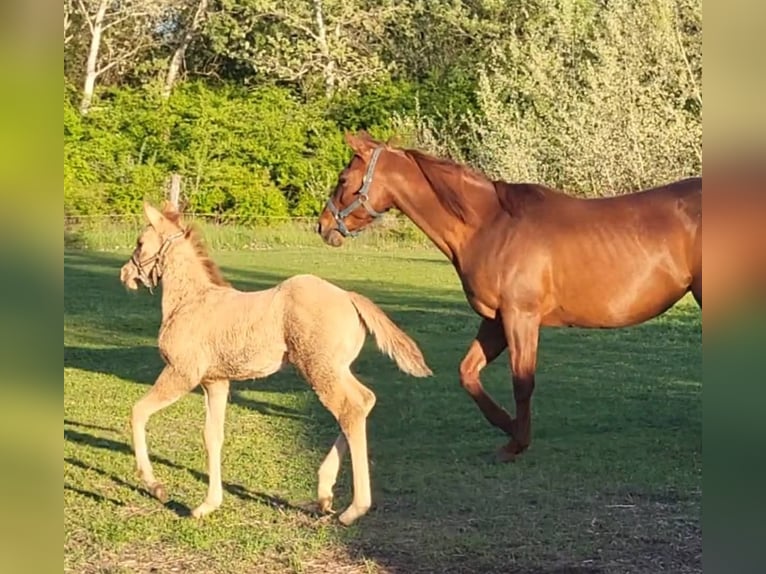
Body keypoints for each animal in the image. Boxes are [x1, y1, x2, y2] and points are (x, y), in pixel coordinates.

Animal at [119, 201, 432, 525]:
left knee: (350, 408)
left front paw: (155, 485)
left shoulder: (182, 373)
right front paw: (207, 505)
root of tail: (349, 297)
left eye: (140, 243)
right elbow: (212, 436)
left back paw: (352, 509)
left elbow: (138, 412)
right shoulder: (215, 382)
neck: (190, 302)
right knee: (365, 400)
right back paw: (324, 494)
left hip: (318, 370)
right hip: (336, 368)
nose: (125, 273)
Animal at [317, 131, 701, 463]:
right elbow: (468, 373)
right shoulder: (496, 320)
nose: (323, 226)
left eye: (343, 179)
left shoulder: (521, 317)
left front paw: (516, 443)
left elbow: (522, 383)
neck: (490, 225)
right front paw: (508, 426)